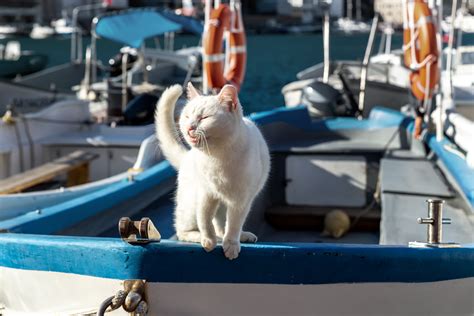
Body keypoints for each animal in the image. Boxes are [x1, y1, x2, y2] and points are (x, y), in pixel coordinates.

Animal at [154, 83, 268, 260]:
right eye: (187, 116)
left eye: (204, 118)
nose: (189, 127)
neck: (217, 158)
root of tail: (187, 156)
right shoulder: (206, 194)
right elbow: (204, 219)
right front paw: (208, 240)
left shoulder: (240, 200)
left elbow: (234, 224)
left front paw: (231, 244)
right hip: (191, 203)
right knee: (183, 230)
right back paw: (202, 236)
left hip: (225, 204)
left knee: (222, 226)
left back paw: (236, 236)